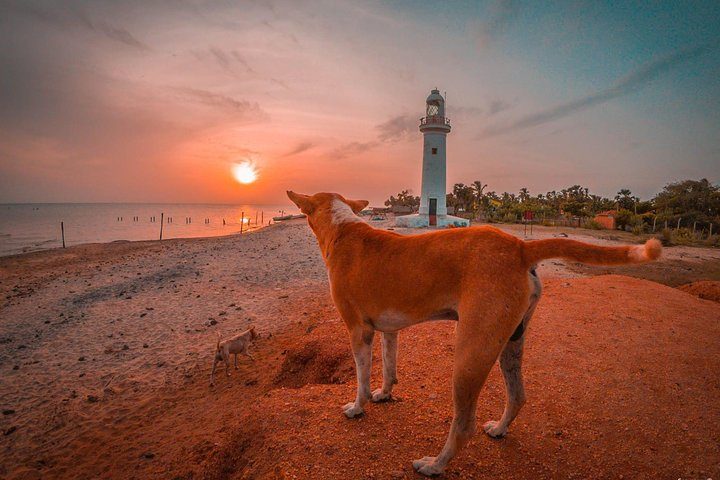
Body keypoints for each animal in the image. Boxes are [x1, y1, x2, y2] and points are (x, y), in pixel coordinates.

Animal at [286, 191, 660, 476]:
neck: (343, 228)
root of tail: (520, 247)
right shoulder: (390, 330)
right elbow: (390, 367)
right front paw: (385, 393)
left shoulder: (357, 330)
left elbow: (361, 379)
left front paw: (357, 407)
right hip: (510, 343)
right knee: (518, 395)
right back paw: (499, 429)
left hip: (469, 355)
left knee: (463, 424)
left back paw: (434, 465)